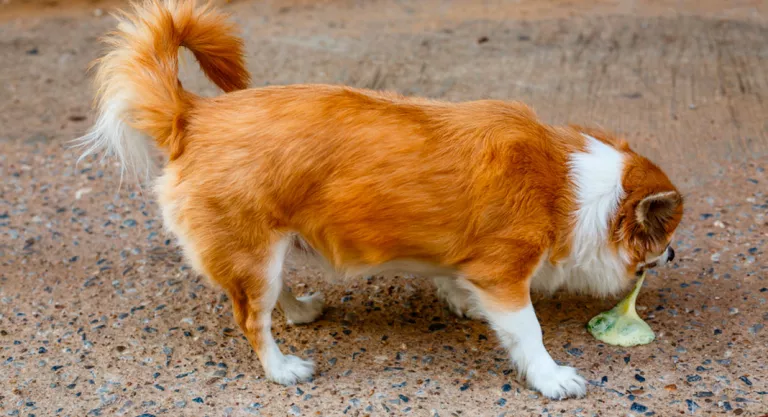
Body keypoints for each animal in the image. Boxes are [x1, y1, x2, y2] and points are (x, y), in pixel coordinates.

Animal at [75, 0, 680, 400]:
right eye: (667, 236)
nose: (673, 254)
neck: (569, 183)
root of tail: (193, 114)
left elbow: (454, 278)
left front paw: (458, 298)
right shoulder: (507, 275)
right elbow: (528, 331)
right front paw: (552, 377)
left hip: (268, 251)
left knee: (269, 299)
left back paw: (299, 311)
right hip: (254, 255)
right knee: (251, 319)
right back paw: (282, 368)